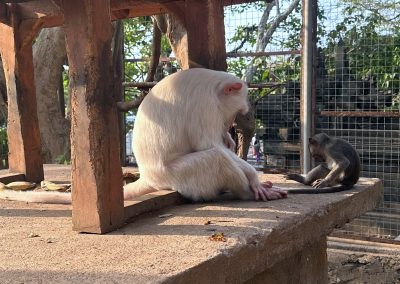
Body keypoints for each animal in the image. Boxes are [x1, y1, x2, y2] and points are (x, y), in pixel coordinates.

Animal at [0, 67, 288, 203]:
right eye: (236, 112)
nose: (228, 124)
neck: (213, 85)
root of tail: (149, 176)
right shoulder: (206, 104)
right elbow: (209, 144)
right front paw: (253, 178)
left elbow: (218, 144)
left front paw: (229, 141)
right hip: (178, 176)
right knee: (216, 160)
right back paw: (246, 192)